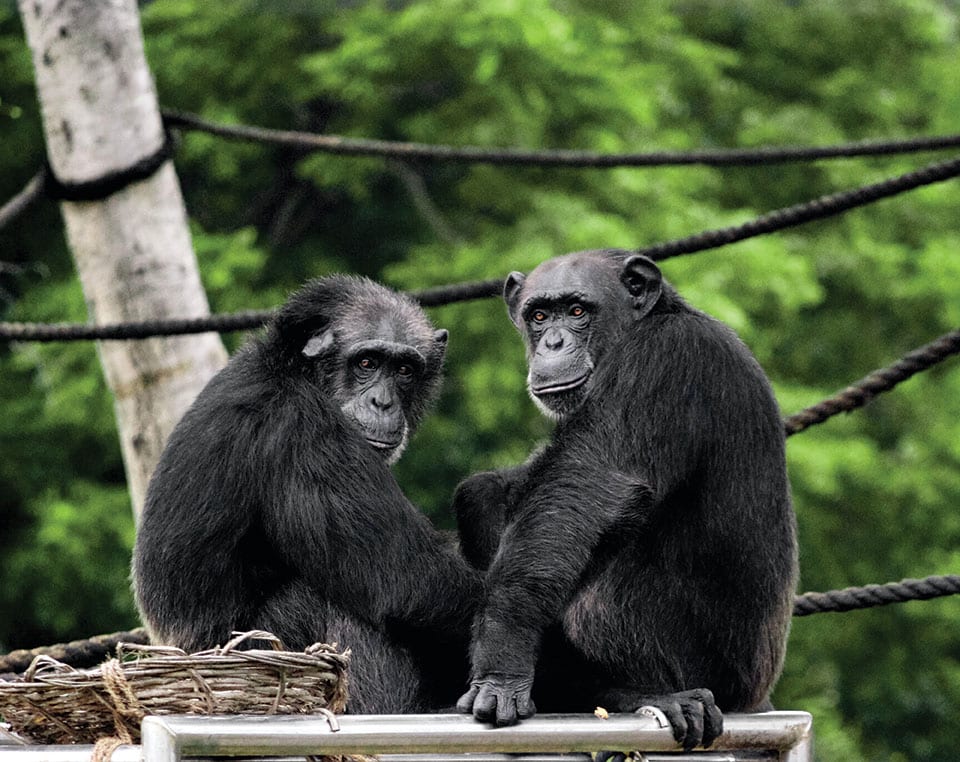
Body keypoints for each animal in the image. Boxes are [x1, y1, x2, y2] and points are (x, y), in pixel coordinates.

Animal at [129, 274, 480, 712]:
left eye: (404, 369)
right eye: (366, 363)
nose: (382, 401)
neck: (297, 372)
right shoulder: (304, 433)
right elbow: (408, 578)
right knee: (327, 598)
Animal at [454, 251, 800, 748]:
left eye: (577, 310)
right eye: (539, 316)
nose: (553, 342)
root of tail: (755, 698)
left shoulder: (664, 360)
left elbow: (588, 486)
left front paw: (502, 660)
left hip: (701, 666)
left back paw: (639, 694)